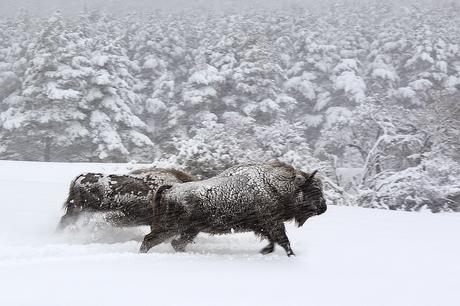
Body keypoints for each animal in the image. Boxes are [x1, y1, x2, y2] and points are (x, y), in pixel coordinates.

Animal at [140, 161, 328, 256]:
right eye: (313, 189)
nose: (324, 208)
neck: (272, 186)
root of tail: (171, 188)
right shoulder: (273, 223)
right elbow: (283, 240)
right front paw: (291, 256)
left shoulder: (265, 226)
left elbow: (274, 241)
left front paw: (265, 251)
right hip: (171, 228)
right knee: (150, 239)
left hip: (190, 230)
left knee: (176, 243)